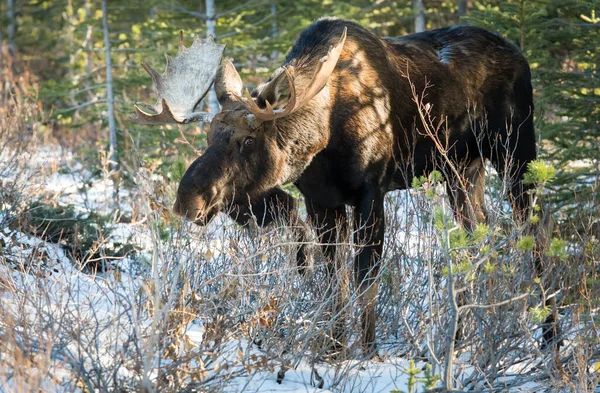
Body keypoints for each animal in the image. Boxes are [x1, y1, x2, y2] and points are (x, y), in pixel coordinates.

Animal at [134, 17, 556, 356]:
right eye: (208, 137)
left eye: (248, 140)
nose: (187, 199)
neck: (322, 140)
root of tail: (521, 56)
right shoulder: (321, 203)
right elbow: (330, 281)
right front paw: (334, 350)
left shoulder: (372, 193)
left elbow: (364, 278)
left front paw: (367, 352)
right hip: (462, 170)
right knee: (478, 236)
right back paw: (466, 334)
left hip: (516, 152)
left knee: (536, 231)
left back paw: (548, 337)